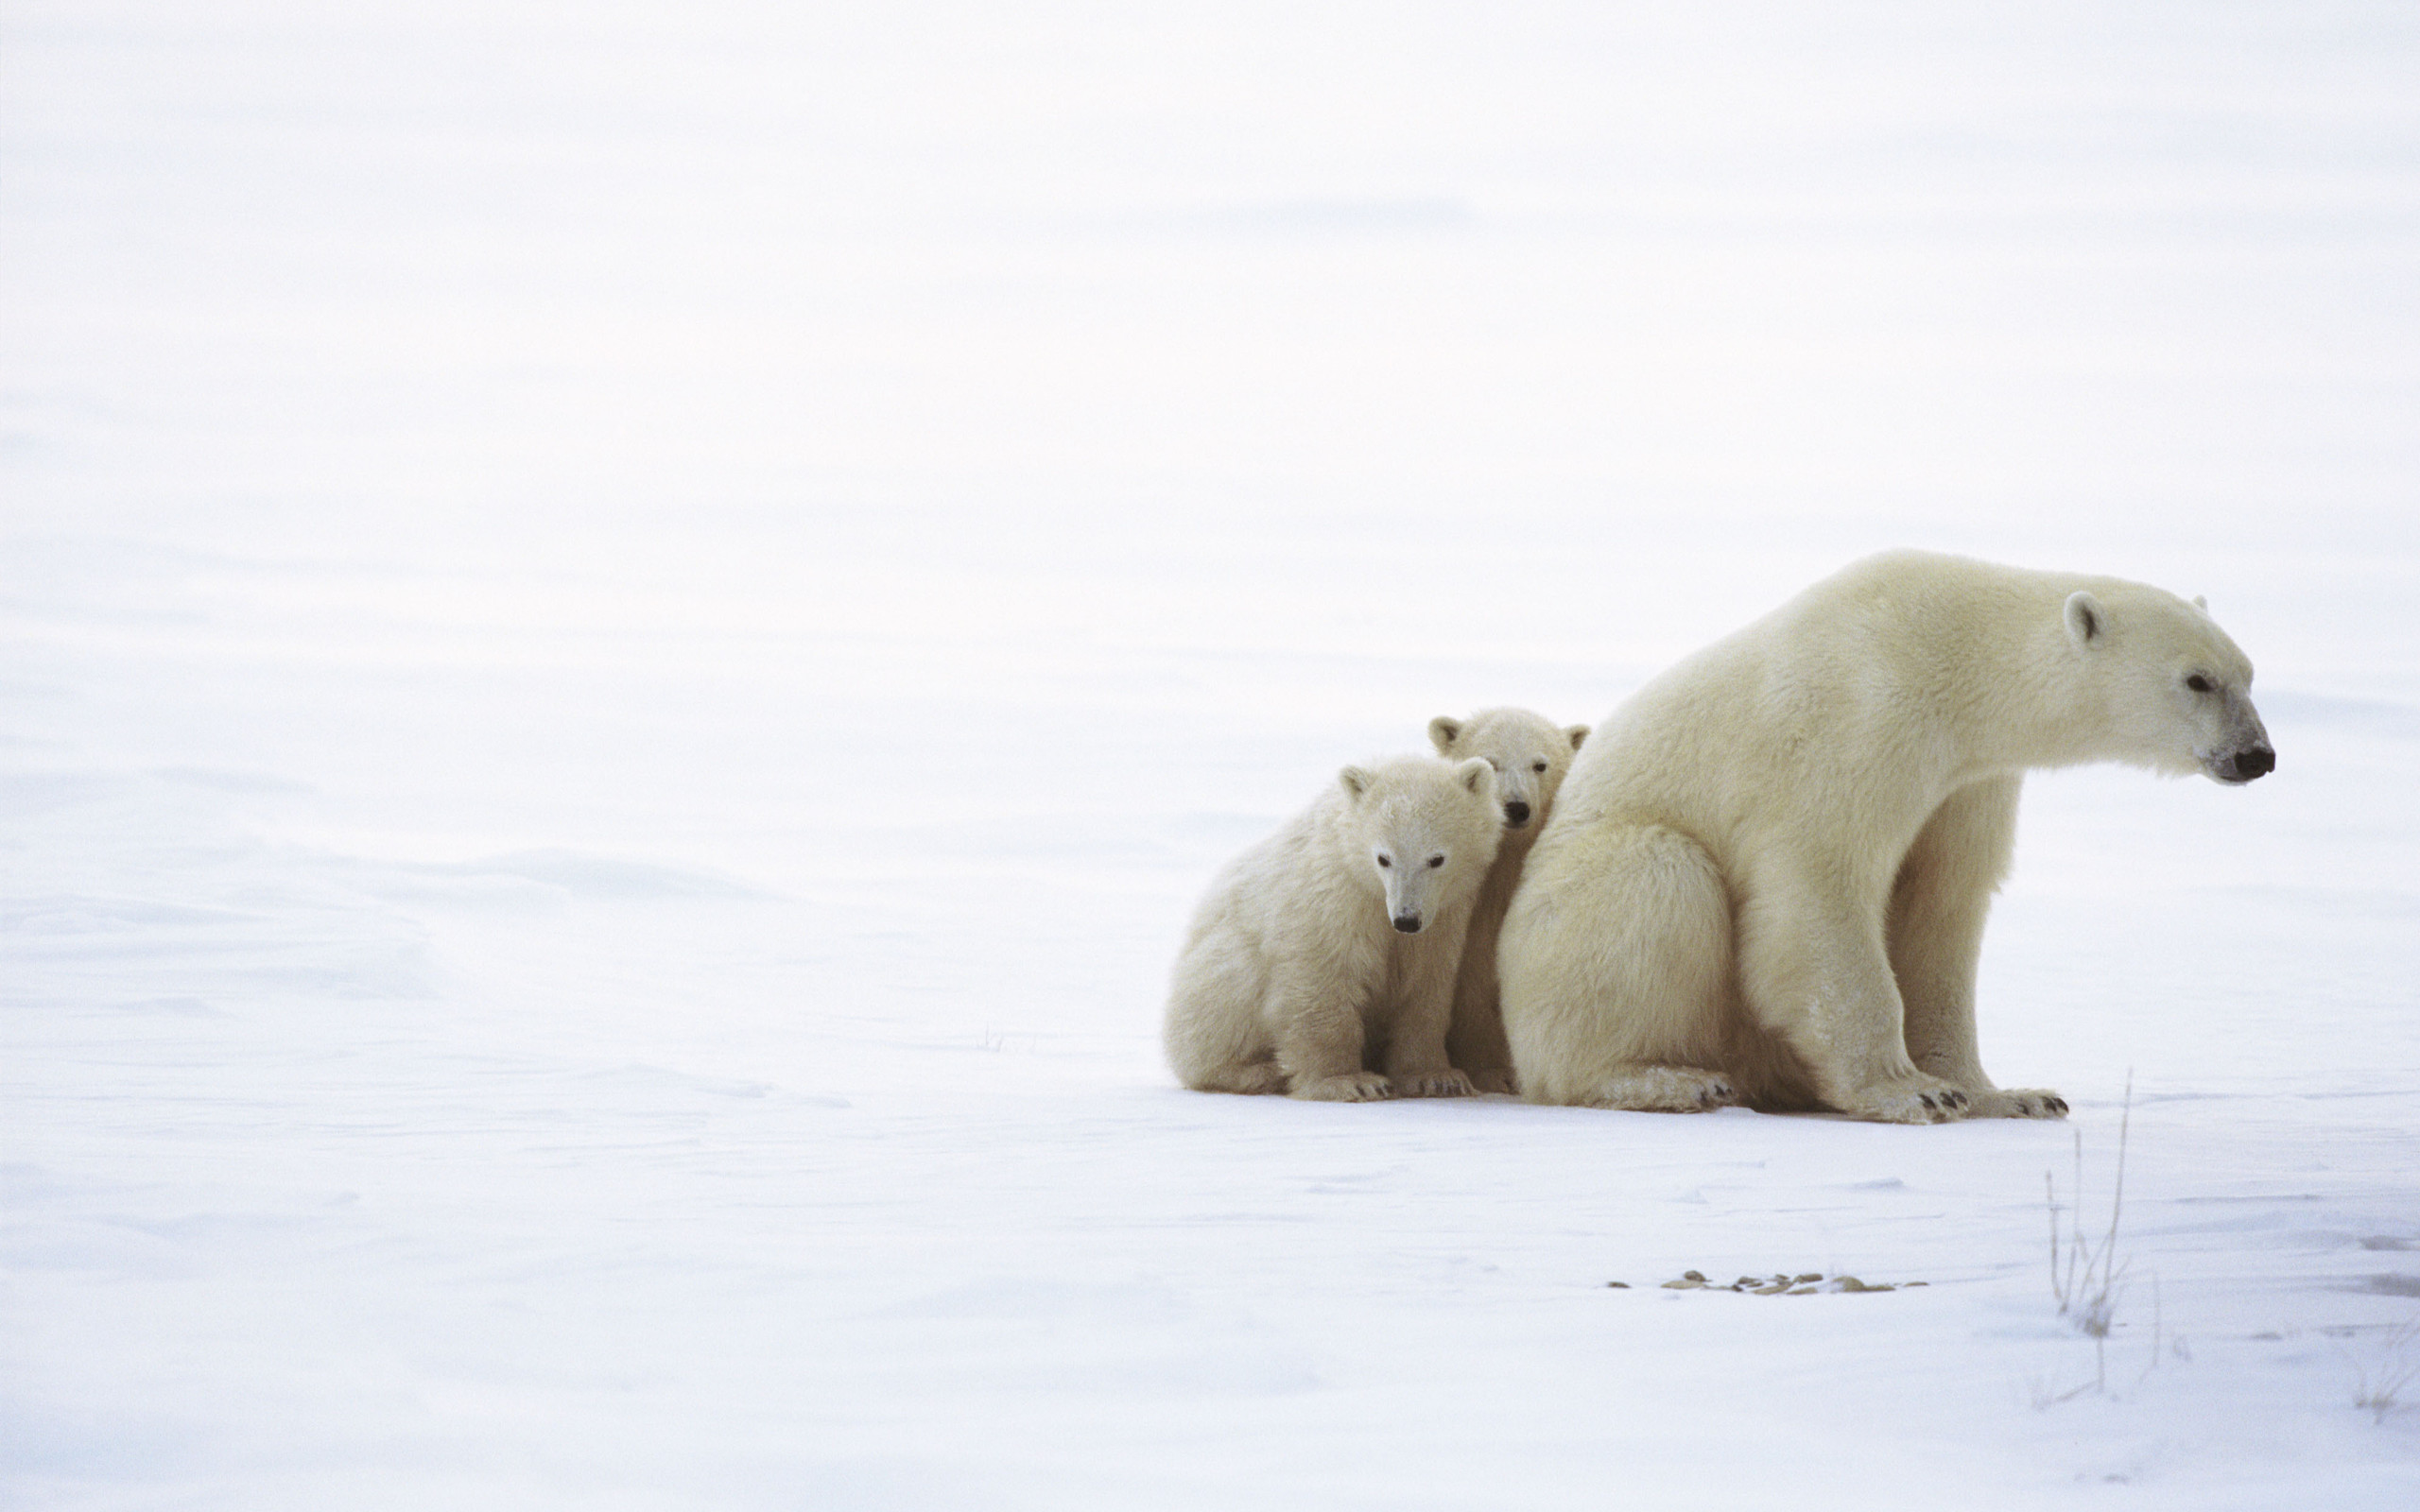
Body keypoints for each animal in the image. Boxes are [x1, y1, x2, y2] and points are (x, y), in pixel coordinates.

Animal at [1500, 554, 2274, 1122]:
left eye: (2248, 674)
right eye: (2197, 680)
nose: (2257, 756)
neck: (1951, 653)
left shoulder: (1967, 781)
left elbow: (1943, 907)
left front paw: (2010, 1094)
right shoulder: (1858, 726)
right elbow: (1822, 891)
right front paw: (1912, 1091)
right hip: (1574, 904)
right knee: (1657, 879)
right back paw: (1669, 1079)